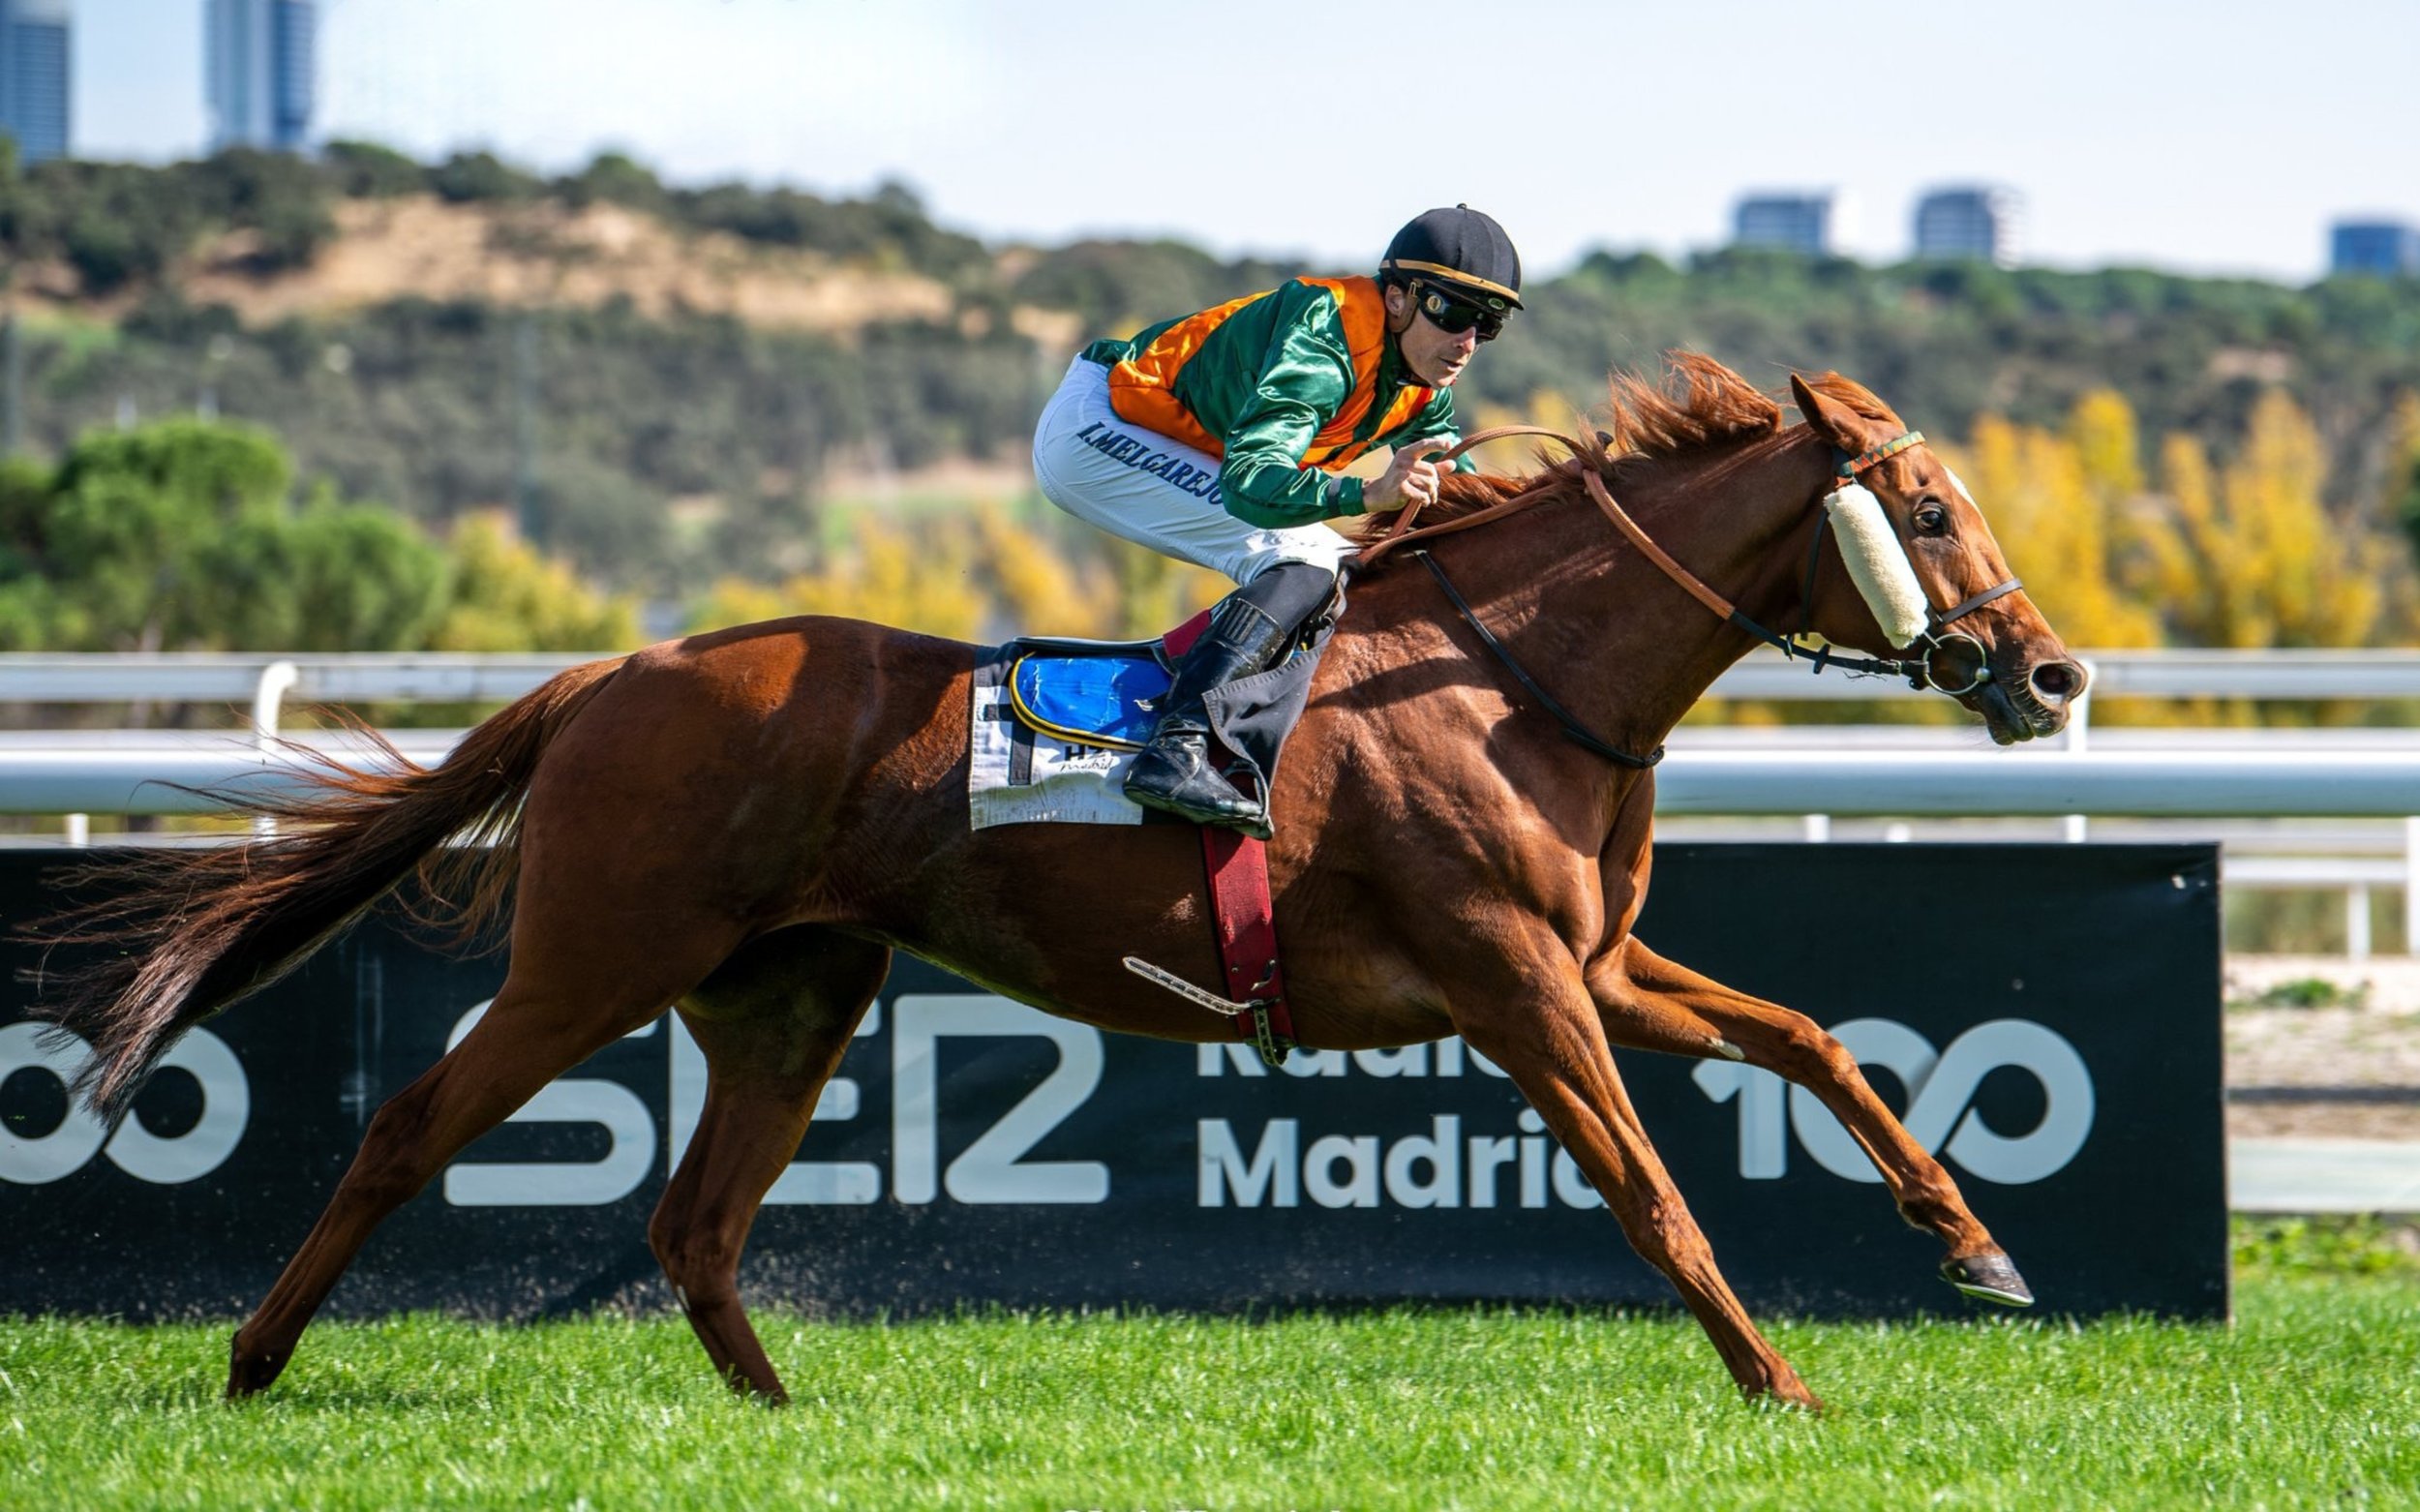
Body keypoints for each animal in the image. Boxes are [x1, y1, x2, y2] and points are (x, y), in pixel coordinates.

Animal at [29, 355, 2085, 1412]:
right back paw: (251, 1361)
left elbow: (1813, 1037)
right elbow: (1657, 1195)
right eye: (1925, 510)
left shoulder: (1601, 962)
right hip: (593, 960)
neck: (1513, 669)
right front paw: (1780, 1382)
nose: (2054, 674)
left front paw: (1978, 1246)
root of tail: (617, 668)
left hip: (795, 987)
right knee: (409, 1129)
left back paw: (779, 1415)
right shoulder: (1517, 984)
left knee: (697, 1218)